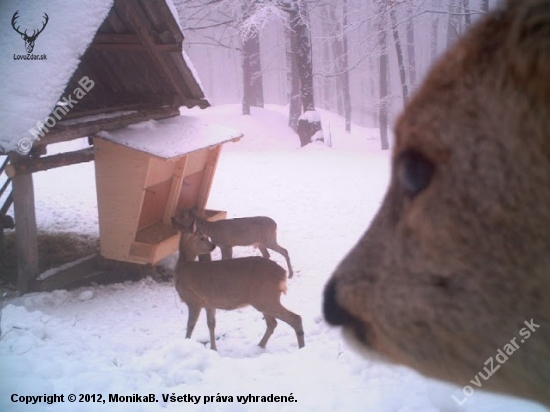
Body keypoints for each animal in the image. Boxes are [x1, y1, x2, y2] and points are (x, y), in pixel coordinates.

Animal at [172, 209, 306, 350]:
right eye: (202, 237)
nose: (213, 245)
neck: (182, 267)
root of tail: (282, 274)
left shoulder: (193, 300)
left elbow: (190, 327)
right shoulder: (209, 303)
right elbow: (211, 324)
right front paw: (214, 349)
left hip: (265, 297)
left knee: (294, 318)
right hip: (264, 298)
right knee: (273, 323)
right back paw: (259, 346)